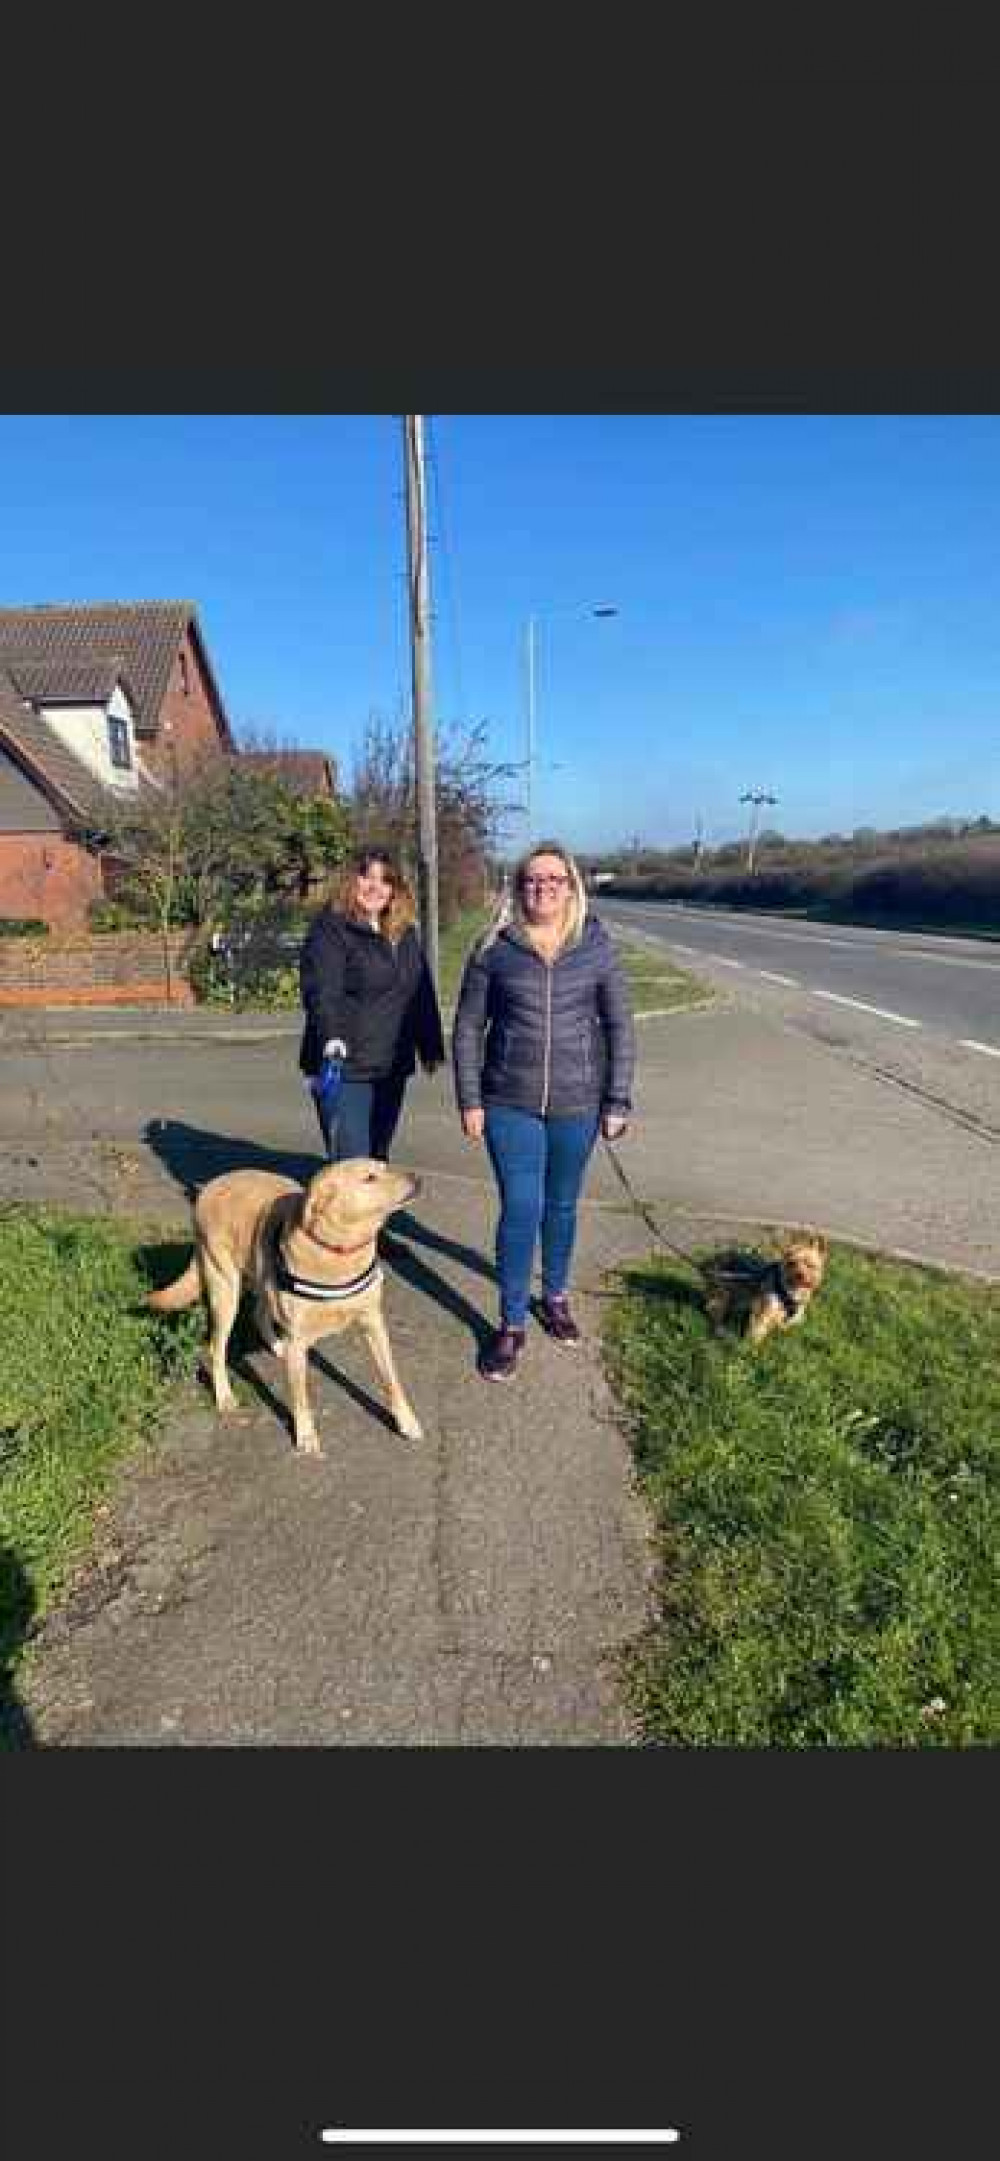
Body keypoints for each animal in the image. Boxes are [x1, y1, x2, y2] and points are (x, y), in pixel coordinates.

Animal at [151, 1158, 425, 1460]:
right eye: (369, 1178)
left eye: (385, 1166)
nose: (419, 1179)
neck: (338, 1250)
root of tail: (212, 1184)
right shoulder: (299, 1336)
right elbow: (300, 1398)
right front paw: (305, 1435)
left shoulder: (374, 1324)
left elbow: (391, 1380)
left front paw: (406, 1421)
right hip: (226, 1291)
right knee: (216, 1347)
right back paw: (224, 1395)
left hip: (260, 1274)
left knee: (259, 1313)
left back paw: (277, 1347)